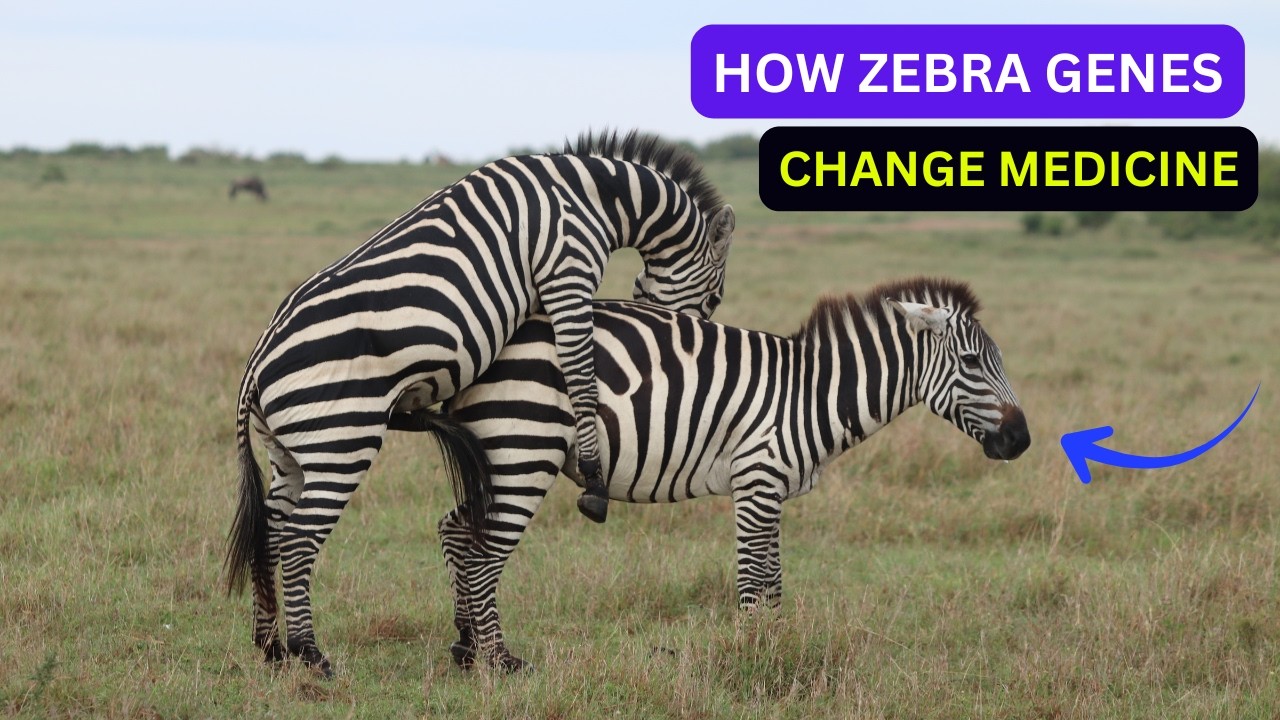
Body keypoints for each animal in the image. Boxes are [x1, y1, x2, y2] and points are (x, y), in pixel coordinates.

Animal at [223, 130, 736, 676]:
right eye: (715, 300)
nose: (680, 340)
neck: (594, 194)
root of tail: (256, 362)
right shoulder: (567, 273)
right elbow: (579, 369)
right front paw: (594, 476)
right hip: (341, 441)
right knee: (299, 541)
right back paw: (309, 652)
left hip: (292, 453)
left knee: (271, 533)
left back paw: (271, 647)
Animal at [406, 277, 1030, 671]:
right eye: (972, 362)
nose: (1022, 440)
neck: (809, 397)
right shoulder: (756, 482)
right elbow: (754, 582)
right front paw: (755, 659)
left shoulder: (771, 490)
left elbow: (773, 581)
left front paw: (776, 650)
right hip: (523, 448)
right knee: (483, 554)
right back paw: (498, 661)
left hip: (494, 455)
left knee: (455, 531)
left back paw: (465, 647)